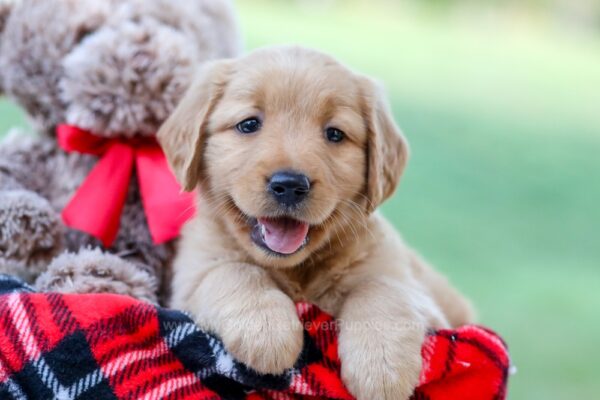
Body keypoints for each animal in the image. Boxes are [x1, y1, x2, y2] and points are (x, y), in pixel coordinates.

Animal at [158, 46, 474, 400]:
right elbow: (233, 271)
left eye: (334, 134)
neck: (297, 270)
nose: (290, 184)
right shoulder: (192, 277)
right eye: (249, 124)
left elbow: (380, 288)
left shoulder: (415, 291)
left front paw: (382, 369)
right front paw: (267, 331)